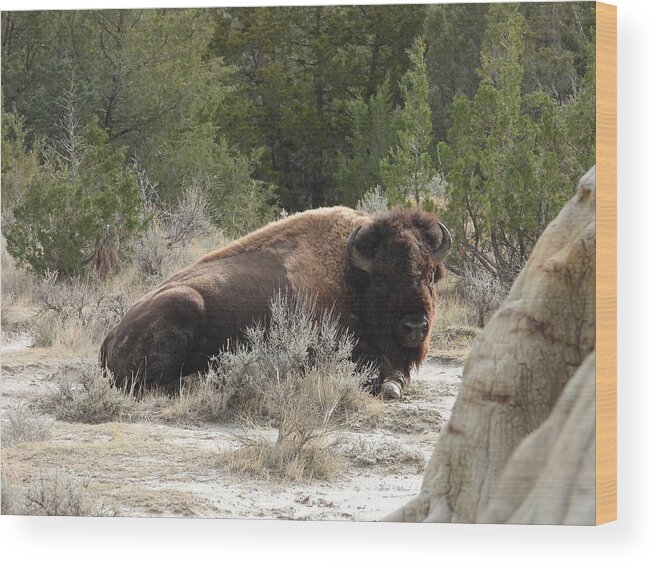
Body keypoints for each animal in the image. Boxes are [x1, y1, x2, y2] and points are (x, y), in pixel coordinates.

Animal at [101, 206, 452, 396]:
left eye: (429, 275)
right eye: (381, 280)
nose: (414, 326)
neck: (350, 276)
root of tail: (111, 335)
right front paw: (391, 384)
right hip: (184, 303)